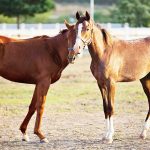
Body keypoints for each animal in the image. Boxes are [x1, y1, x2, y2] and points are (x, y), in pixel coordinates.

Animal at [67, 11, 150, 143]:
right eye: (75, 29)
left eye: (87, 28)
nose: (75, 50)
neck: (105, 53)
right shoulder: (101, 84)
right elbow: (105, 108)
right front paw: (105, 135)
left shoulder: (111, 84)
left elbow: (111, 107)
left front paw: (110, 136)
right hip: (145, 79)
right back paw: (143, 133)